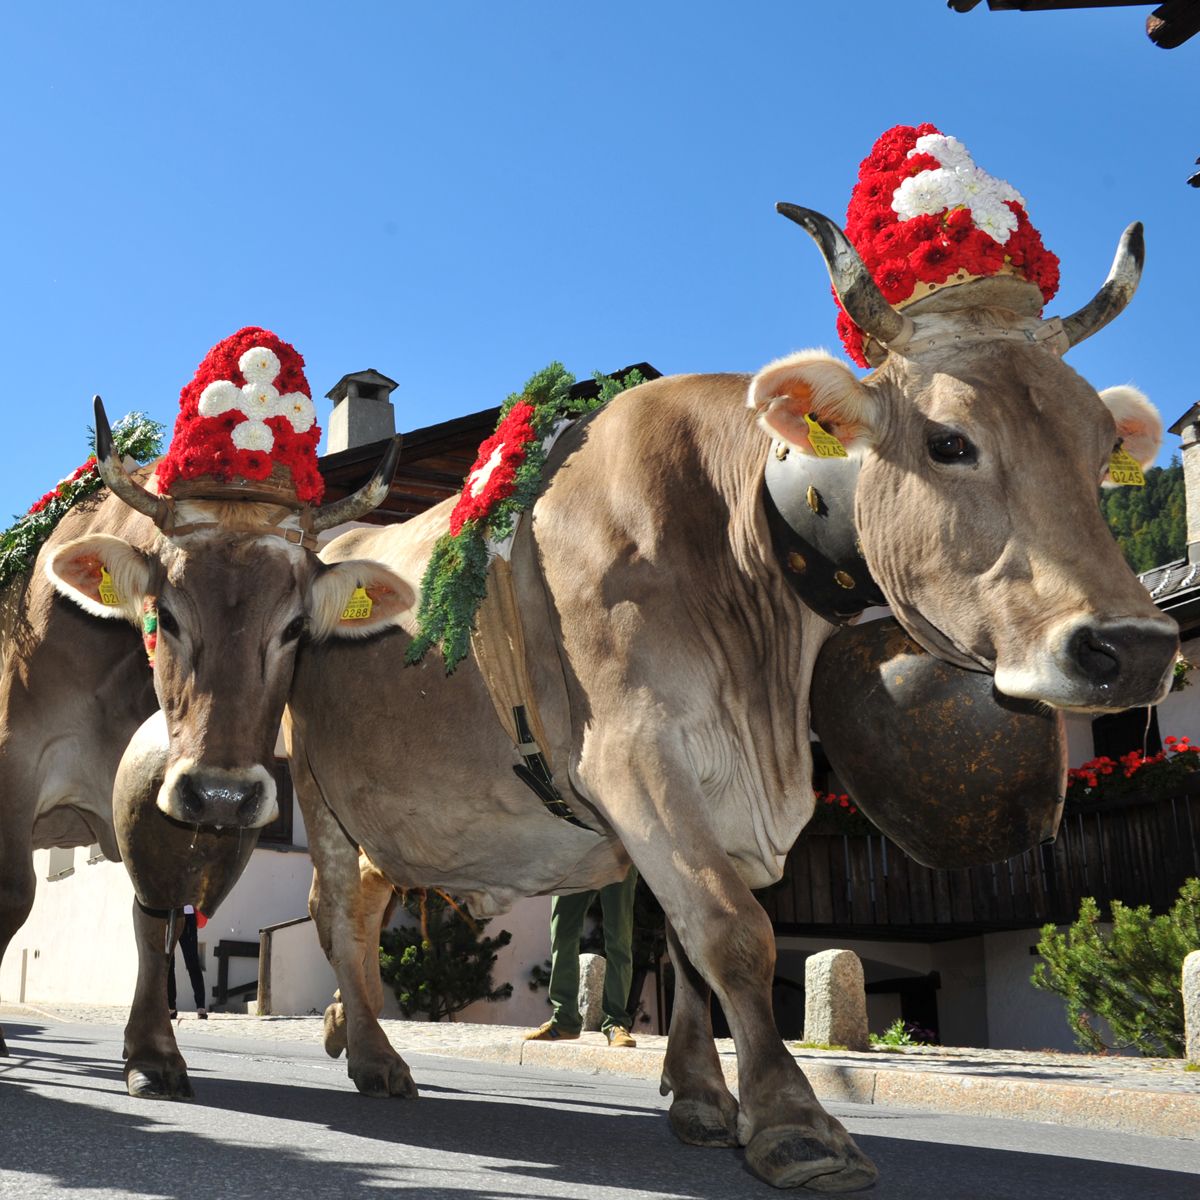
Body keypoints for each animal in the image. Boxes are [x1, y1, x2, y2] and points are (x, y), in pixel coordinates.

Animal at [0, 405, 410, 1098]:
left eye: (295, 628)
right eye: (164, 614)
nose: (224, 794)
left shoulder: (155, 806)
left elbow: (154, 919)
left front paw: (151, 1052)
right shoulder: (16, 760)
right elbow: (14, 895)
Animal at [283, 206, 1177, 1192]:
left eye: (1102, 450)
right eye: (950, 442)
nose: (1135, 647)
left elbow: (686, 950)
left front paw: (705, 1097)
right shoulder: (632, 753)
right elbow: (732, 931)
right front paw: (794, 1122)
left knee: (369, 904)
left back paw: (347, 1031)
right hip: (318, 794)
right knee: (335, 911)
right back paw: (375, 1056)